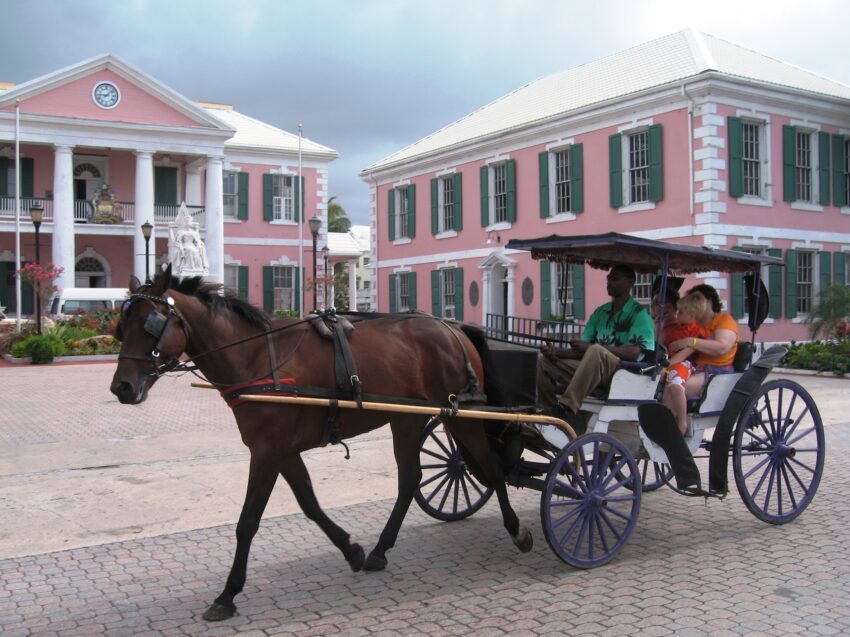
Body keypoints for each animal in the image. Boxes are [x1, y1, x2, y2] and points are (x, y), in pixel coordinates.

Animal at [107, 268, 528, 620]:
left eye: (151, 325)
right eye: (121, 326)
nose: (121, 387)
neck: (257, 356)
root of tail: (455, 329)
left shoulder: (266, 451)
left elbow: (248, 522)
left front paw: (228, 594)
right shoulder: (281, 450)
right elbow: (309, 503)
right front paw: (351, 550)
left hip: (462, 416)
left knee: (492, 469)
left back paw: (517, 531)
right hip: (408, 419)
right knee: (411, 479)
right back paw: (379, 550)